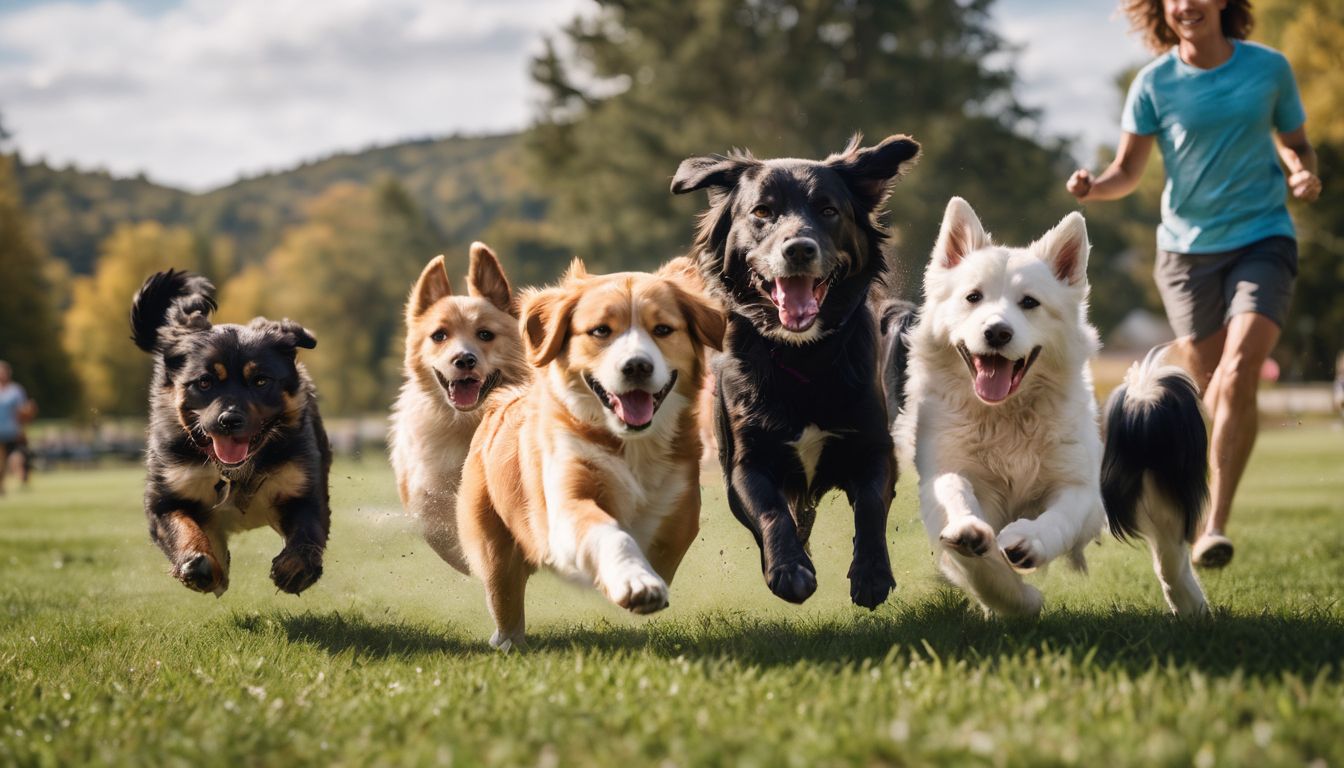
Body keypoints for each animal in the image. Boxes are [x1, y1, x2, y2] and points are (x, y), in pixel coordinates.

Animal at [131, 271, 330, 599]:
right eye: (205, 382)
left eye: (260, 381)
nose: (229, 420)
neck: (234, 472)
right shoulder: (166, 494)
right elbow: (181, 527)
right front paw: (197, 564)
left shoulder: (301, 486)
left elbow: (308, 531)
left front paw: (295, 569)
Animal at [387, 243, 526, 572]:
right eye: (439, 335)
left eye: (485, 334)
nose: (464, 359)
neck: (467, 424)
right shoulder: (425, 486)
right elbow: (436, 521)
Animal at [454, 259, 725, 648]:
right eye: (600, 331)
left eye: (662, 329)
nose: (637, 366)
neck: (629, 444)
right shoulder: (567, 500)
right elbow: (610, 532)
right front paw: (635, 581)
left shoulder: (680, 505)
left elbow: (659, 540)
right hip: (492, 542)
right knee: (505, 596)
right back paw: (507, 640)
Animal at [672, 135, 924, 610]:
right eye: (761, 212)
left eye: (828, 210)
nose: (799, 249)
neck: (804, 356)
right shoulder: (744, 464)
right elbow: (772, 512)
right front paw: (789, 569)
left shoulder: (874, 448)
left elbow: (870, 507)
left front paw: (871, 575)